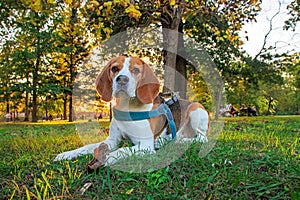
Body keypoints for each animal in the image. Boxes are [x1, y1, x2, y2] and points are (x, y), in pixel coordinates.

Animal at [53, 55, 209, 168]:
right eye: (115, 68)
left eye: (136, 70)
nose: (122, 79)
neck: (126, 108)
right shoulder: (112, 140)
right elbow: (88, 146)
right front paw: (67, 154)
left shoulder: (145, 145)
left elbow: (121, 150)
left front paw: (106, 158)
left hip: (196, 111)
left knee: (202, 138)